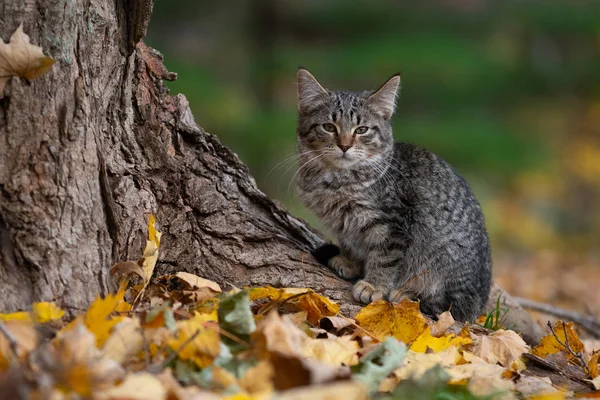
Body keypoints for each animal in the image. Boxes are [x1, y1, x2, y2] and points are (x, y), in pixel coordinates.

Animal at [294, 69, 492, 322]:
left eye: (362, 130)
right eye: (329, 127)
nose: (344, 146)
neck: (337, 181)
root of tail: (479, 302)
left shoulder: (392, 225)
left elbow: (385, 258)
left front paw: (374, 286)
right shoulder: (345, 224)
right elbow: (350, 243)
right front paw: (349, 262)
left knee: (446, 306)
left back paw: (406, 293)